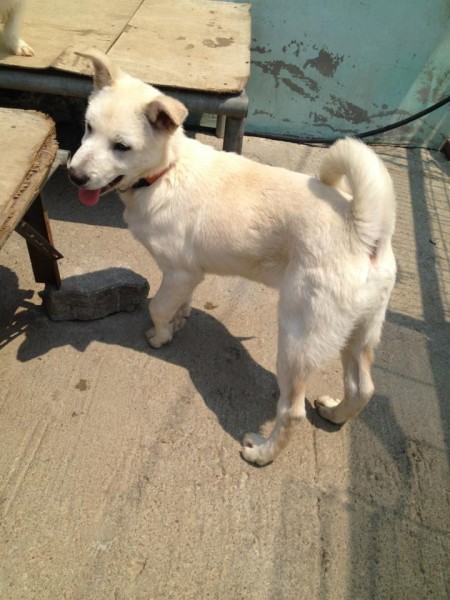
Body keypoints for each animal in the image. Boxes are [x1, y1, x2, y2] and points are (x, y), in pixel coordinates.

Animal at [68, 50, 396, 466]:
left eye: (121, 147)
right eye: (88, 128)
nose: (74, 176)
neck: (167, 171)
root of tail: (363, 227)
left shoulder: (178, 272)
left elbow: (157, 308)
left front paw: (160, 337)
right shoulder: (188, 276)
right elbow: (177, 305)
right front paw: (180, 320)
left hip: (298, 339)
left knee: (292, 411)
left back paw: (264, 453)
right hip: (360, 332)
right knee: (362, 388)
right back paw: (335, 413)